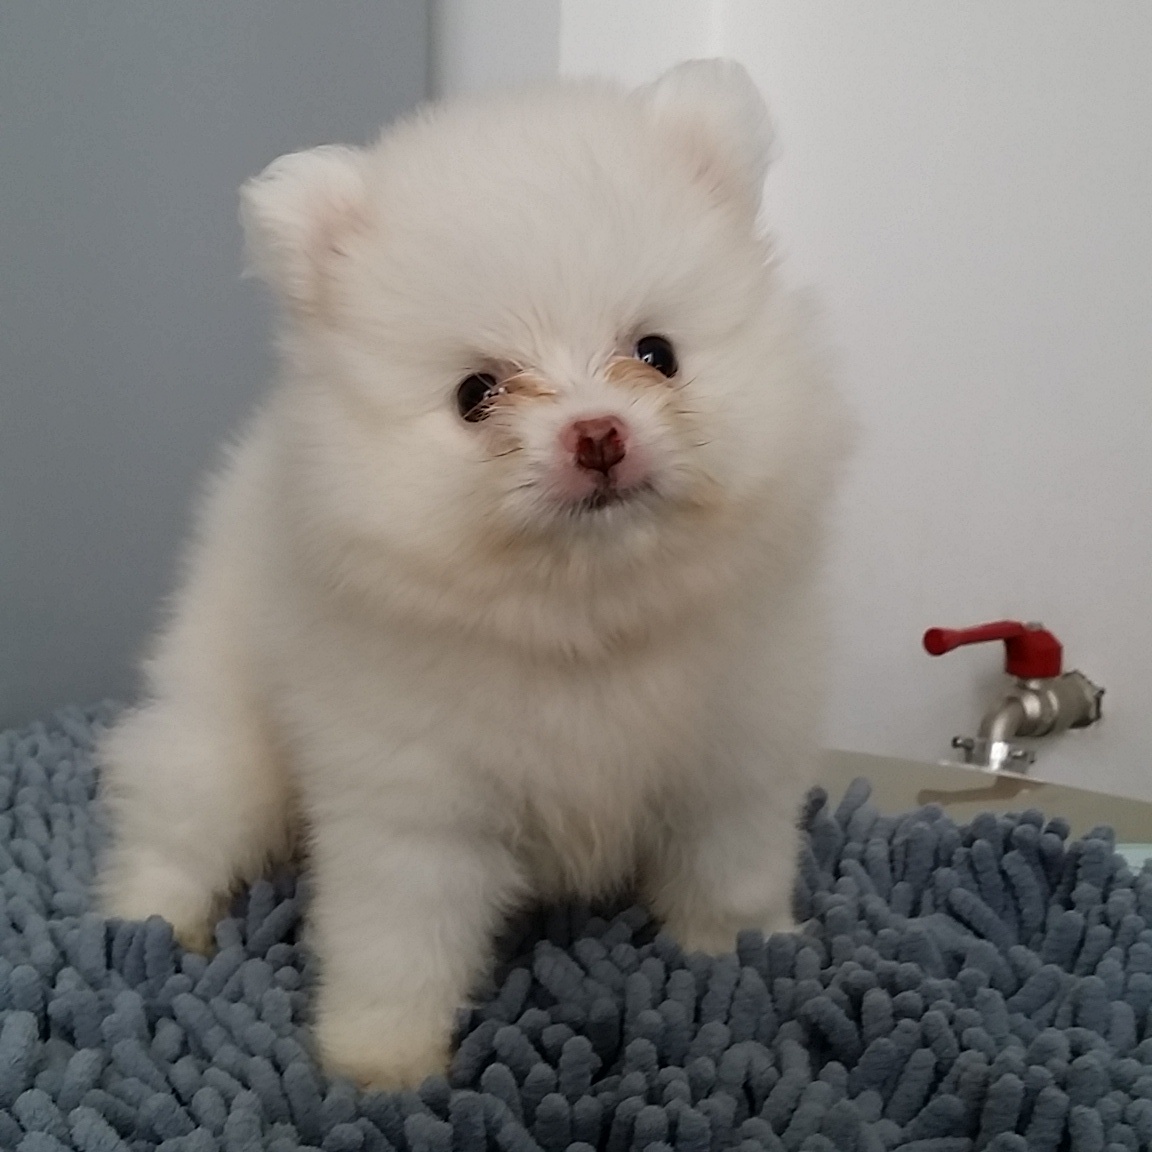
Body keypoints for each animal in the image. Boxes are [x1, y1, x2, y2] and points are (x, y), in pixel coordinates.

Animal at [98, 59, 850, 1088]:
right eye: (476, 394)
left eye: (657, 354)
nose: (598, 435)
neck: (587, 621)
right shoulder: (412, 809)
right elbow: (398, 944)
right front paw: (379, 1068)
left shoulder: (733, 764)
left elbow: (728, 877)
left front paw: (741, 963)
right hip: (222, 739)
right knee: (175, 824)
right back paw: (148, 928)